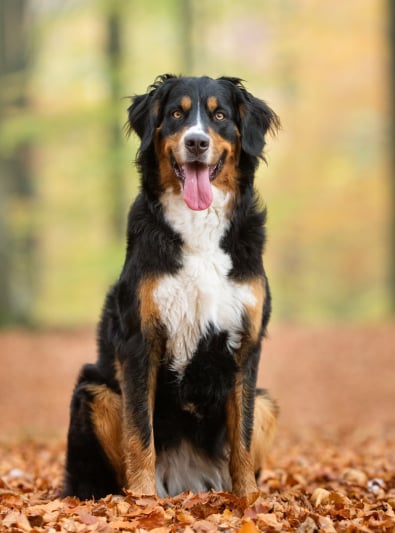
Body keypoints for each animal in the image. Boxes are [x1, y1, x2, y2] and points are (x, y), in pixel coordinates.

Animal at [63, 74, 280, 498]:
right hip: (94, 390)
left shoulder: (247, 344)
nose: (196, 142)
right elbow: (139, 433)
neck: (199, 229)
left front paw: (248, 499)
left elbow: (242, 439)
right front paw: (142, 501)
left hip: (268, 403)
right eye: (177, 114)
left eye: (219, 115)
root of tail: (186, 482)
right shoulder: (140, 338)